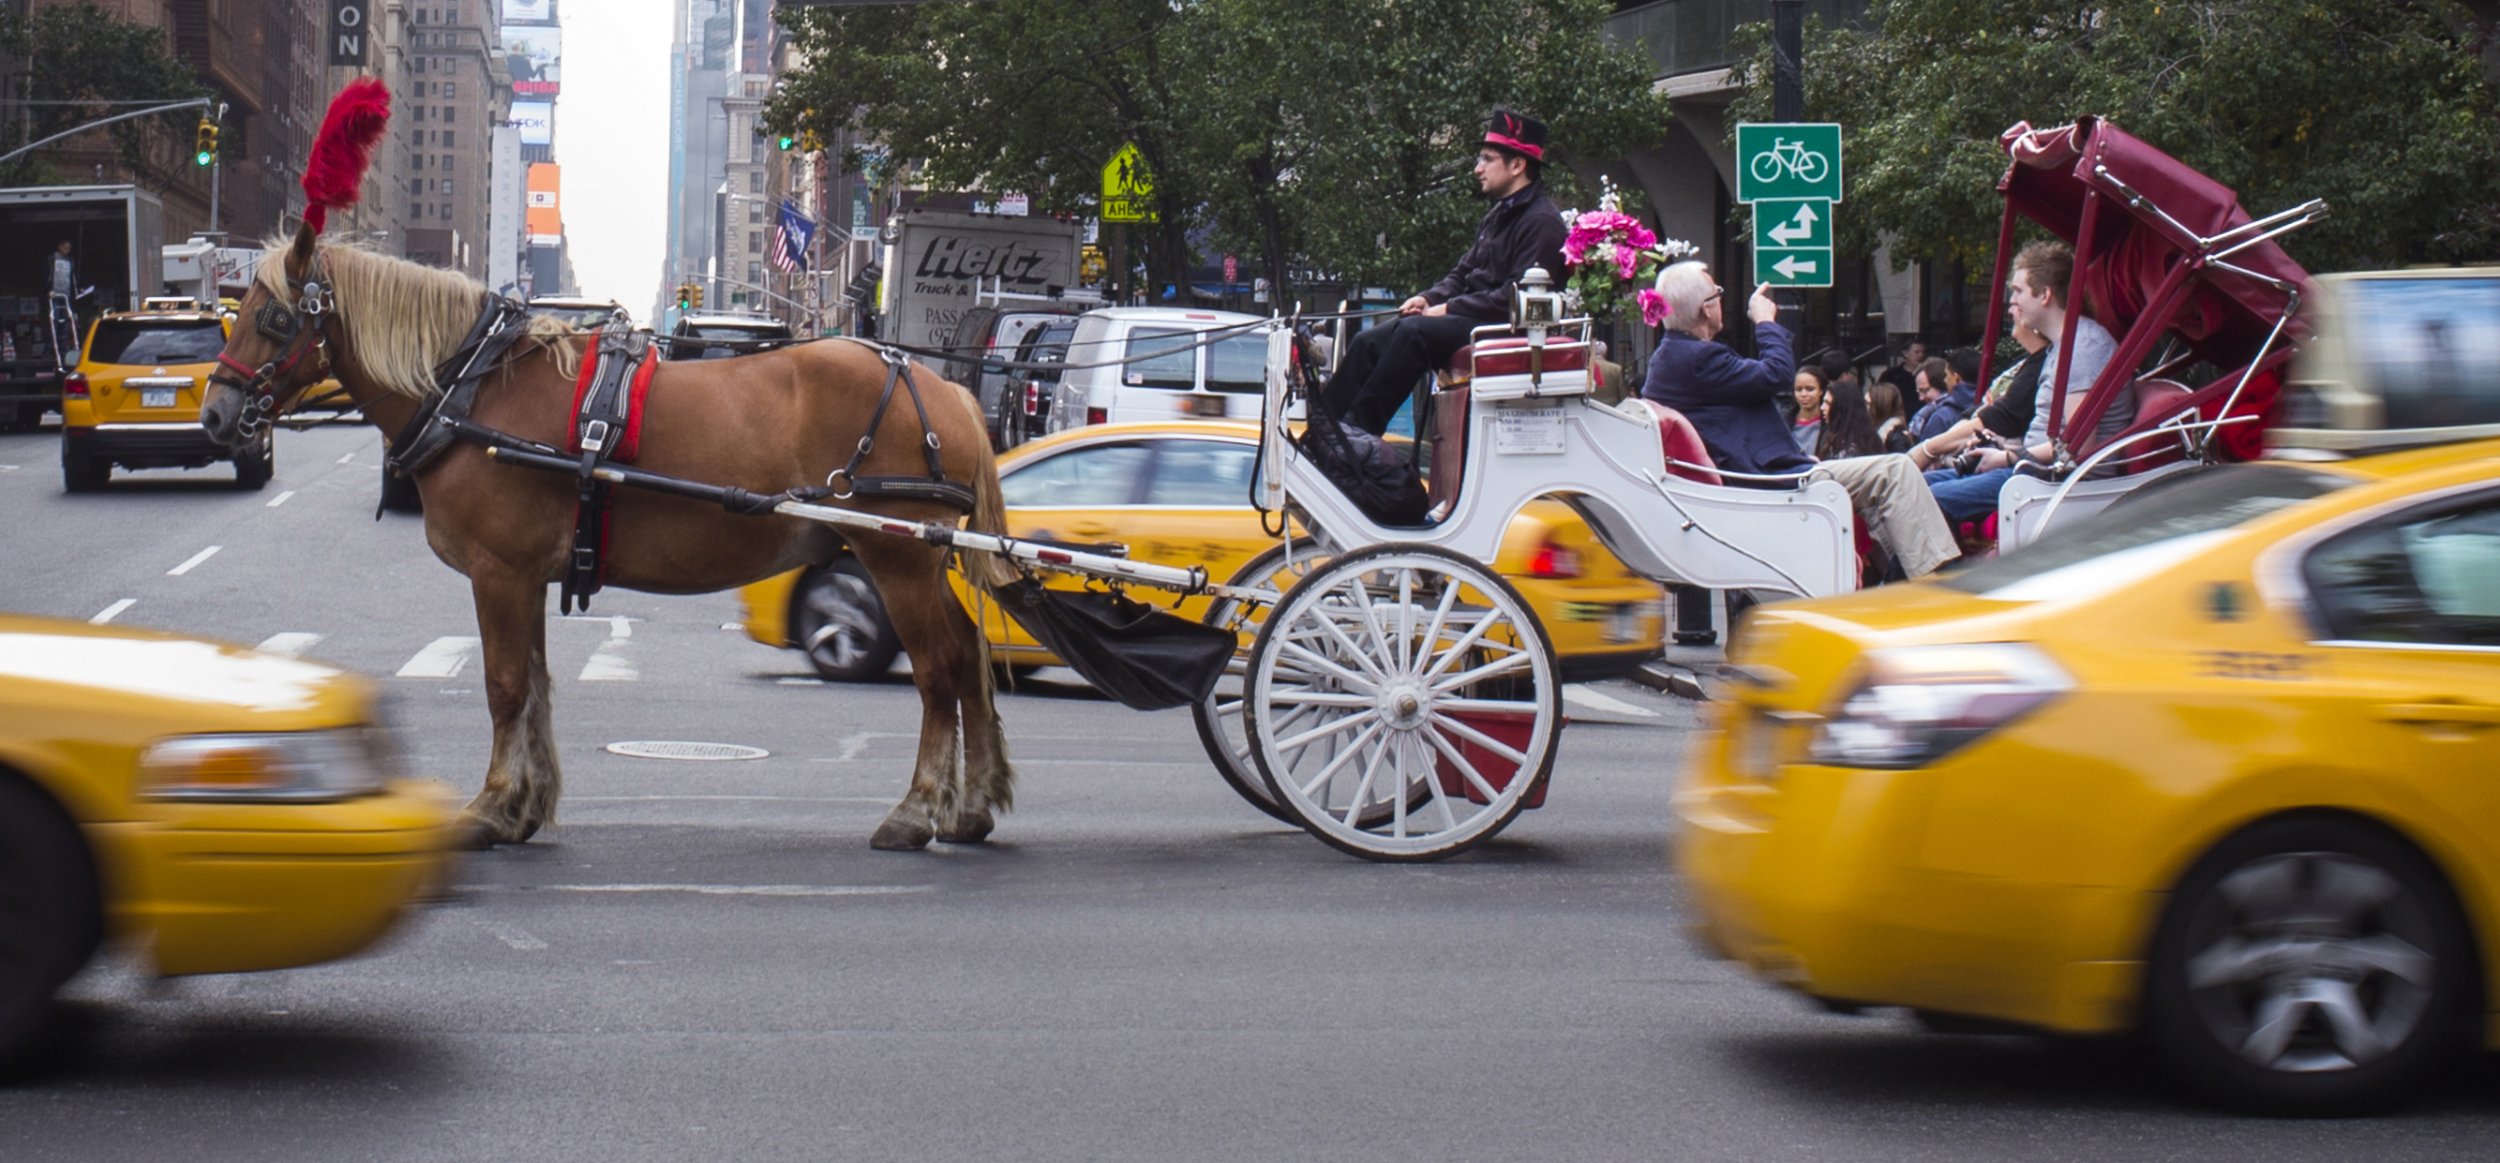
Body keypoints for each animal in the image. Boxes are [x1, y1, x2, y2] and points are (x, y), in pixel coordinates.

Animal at [195, 222, 1015, 845]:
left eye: (273, 318)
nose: (214, 413)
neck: (472, 389)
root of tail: (943, 388)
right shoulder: (526, 574)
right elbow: (534, 683)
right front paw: (525, 806)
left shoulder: (499, 570)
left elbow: (503, 685)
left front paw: (491, 806)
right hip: (910, 557)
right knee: (970, 652)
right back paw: (972, 807)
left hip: (896, 554)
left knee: (940, 669)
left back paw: (916, 810)